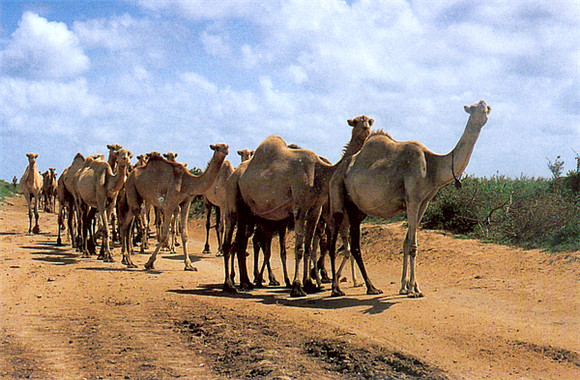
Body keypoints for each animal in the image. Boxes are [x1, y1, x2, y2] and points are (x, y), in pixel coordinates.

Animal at [222, 116, 372, 296]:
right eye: (356, 121)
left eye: (369, 121)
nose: (366, 128)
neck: (321, 173)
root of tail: (233, 175)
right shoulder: (300, 207)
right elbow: (299, 248)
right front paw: (297, 287)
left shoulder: (315, 210)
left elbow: (308, 247)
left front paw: (309, 284)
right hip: (232, 199)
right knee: (228, 242)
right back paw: (229, 285)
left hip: (248, 212)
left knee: (240, 243)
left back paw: (246, 283)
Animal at [328, 99, 492, 298]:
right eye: (475, 107)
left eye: (486, 108)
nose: (483, 113)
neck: (433, 167)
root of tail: (339, 168)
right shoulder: (413, 199)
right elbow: (413, 245)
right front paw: (414, 290)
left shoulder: (423, 202)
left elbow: (406, 242)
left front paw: (406, 287)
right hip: (337, 194)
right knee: (332, 242)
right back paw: (336, 288)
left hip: (356, 208)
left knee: (354, 245)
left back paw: (370, 287)